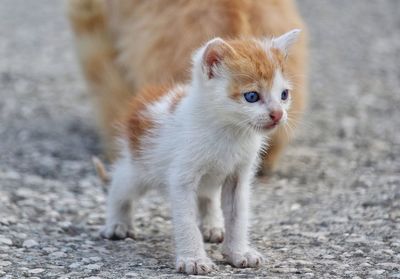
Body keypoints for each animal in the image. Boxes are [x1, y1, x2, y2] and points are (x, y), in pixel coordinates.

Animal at [100, 30, 300, 276]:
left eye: (284, 94)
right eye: (252, 96)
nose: (278, 114)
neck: (229, 132)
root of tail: (147, 95)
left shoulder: (239, 177)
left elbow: (237, 216)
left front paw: (238, 252)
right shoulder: (181, 178)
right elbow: (186, 220)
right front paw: (193, 259)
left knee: (207, 196)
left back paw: (212, 225)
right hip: (139, 167)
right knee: (120, 185)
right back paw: (117, 223)